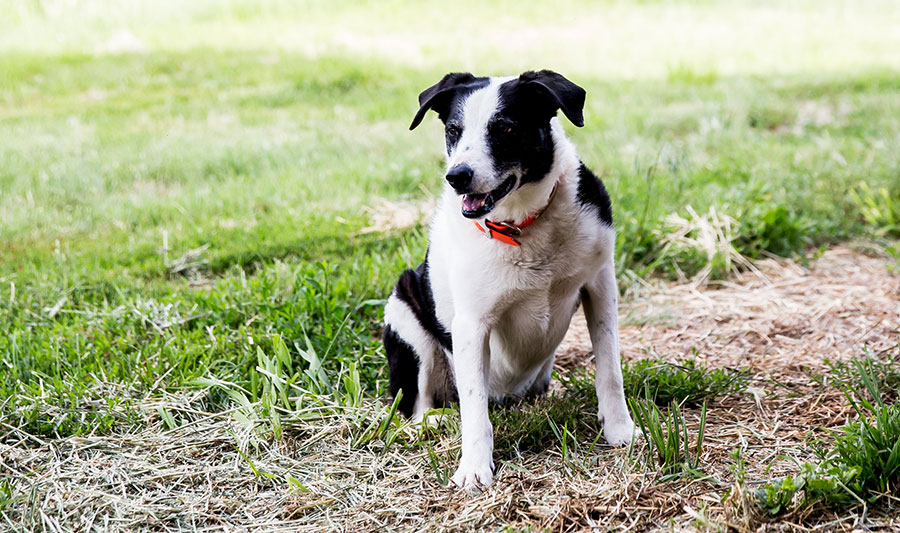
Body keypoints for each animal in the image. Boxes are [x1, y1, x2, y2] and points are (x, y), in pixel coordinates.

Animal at [384, 71, 636, 490]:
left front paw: (621, 430)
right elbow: (474, 407)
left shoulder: (600, 290)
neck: (520, 226)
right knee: (418, 405)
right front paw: (474, 466)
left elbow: (610, 373)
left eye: (505, 128)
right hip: (404, 311)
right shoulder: (471, 326)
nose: (457, 177)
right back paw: (432, 422)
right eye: (453, 130)